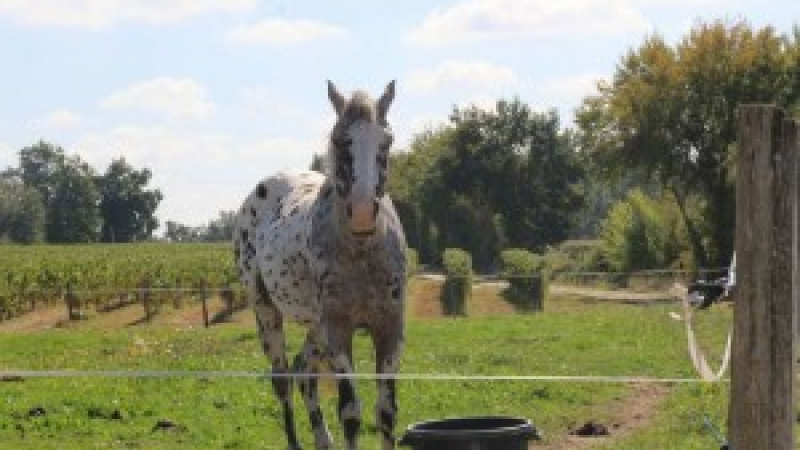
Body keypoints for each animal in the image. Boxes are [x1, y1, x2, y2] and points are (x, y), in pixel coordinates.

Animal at [234, 80, 407, 450]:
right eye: (341, 140)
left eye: (386, 141)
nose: (362, 214)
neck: (360, 251)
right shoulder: (338, 330)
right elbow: (351, 413)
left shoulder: (390, 328)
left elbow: (386, 412)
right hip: (268, 315)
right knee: (283, 379)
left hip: (315, 329)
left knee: (303, 372)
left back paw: (322, 439)